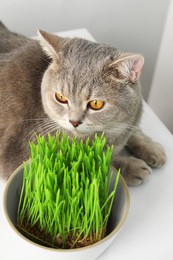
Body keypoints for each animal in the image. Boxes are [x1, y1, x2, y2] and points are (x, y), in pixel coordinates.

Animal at [0, 21, 166, 185]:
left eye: (96, 104)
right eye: (61, 97)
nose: (74, 121)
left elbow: (133, 131)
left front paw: (151, 147)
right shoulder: (27, 154)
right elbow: (98, 161)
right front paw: (132, 166)